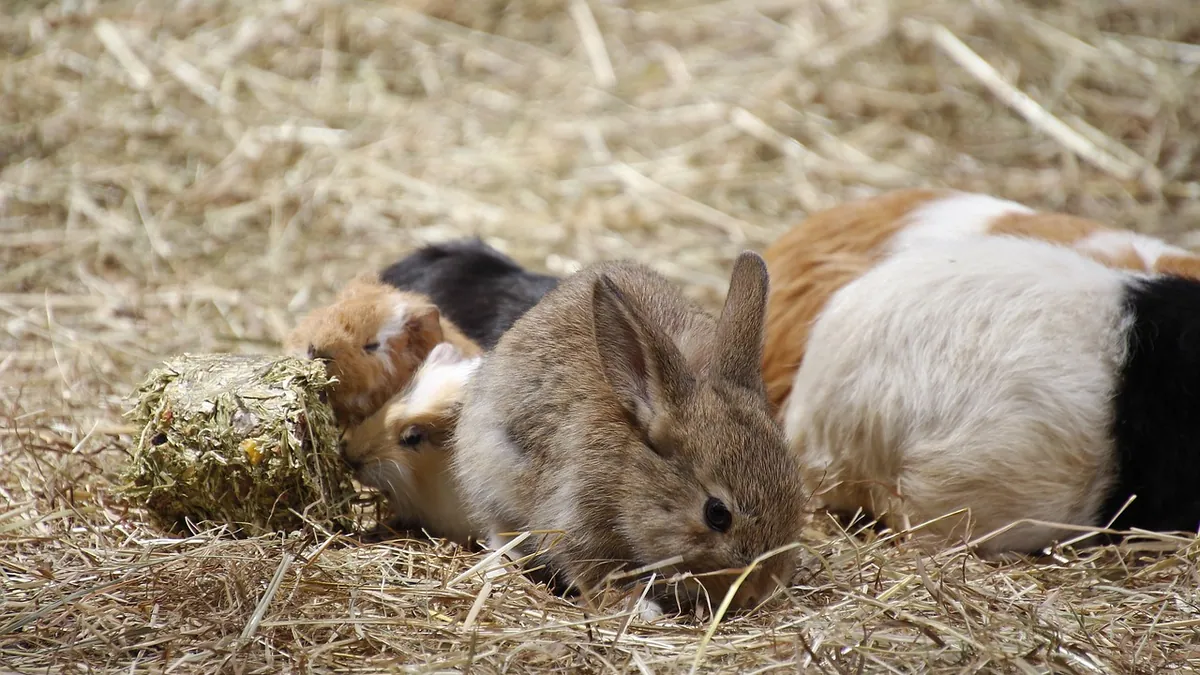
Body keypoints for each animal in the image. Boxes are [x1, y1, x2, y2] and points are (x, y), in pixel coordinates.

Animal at [452, 252, 809, 618]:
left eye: (797, 495)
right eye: (717, 514)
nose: (759, 592)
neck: (631, 469)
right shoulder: (575, 520)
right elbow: (596, 575)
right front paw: (640, 608)